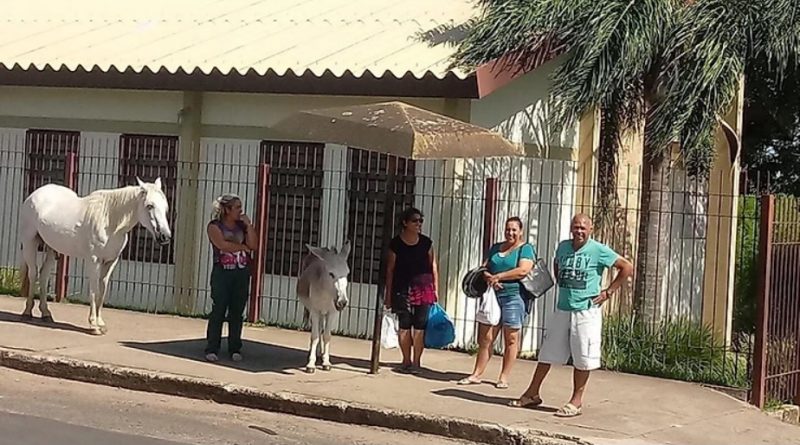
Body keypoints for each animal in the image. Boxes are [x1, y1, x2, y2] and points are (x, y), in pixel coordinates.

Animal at [19, 177, 172, 332]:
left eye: (165, 207)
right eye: (149, 206)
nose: (165, 237)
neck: (109, 220)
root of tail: (35, 194)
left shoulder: (111, 261)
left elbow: (102, 290)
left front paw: (101, 323)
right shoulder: (94, 260)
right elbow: (94, 290)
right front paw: (94, 325)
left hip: (51, 248)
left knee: (43, 276)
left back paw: (46, 314)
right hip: (30, 242)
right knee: (33, 274)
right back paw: (27, 312)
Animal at [296, 239, 350, 372]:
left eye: (347, 274)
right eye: (331, 274)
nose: (342, 302)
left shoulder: (332, 312)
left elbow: (327, 336)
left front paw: (326, 362)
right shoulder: (315, 311)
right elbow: (315, 336)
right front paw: (311, 364)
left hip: (323, 313)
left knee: (321, 329)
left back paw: (320, 354)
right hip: (314, 311)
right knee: (317, 329)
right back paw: (316, 352)